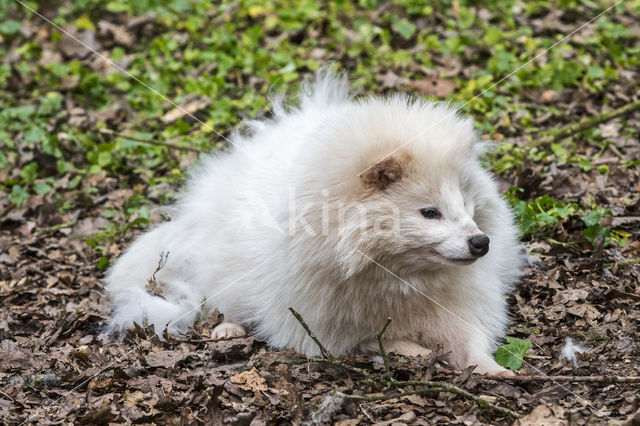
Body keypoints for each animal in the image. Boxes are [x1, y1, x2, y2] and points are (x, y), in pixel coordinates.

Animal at [106, 71, 524, 374]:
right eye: (429, 212)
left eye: (466, 203)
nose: (481, 243)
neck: (393, 274)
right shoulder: (319, 322)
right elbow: (370, 340)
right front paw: (410, 348)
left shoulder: (455, 302)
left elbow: (469, 339)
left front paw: (493, 370)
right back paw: (229, 327)